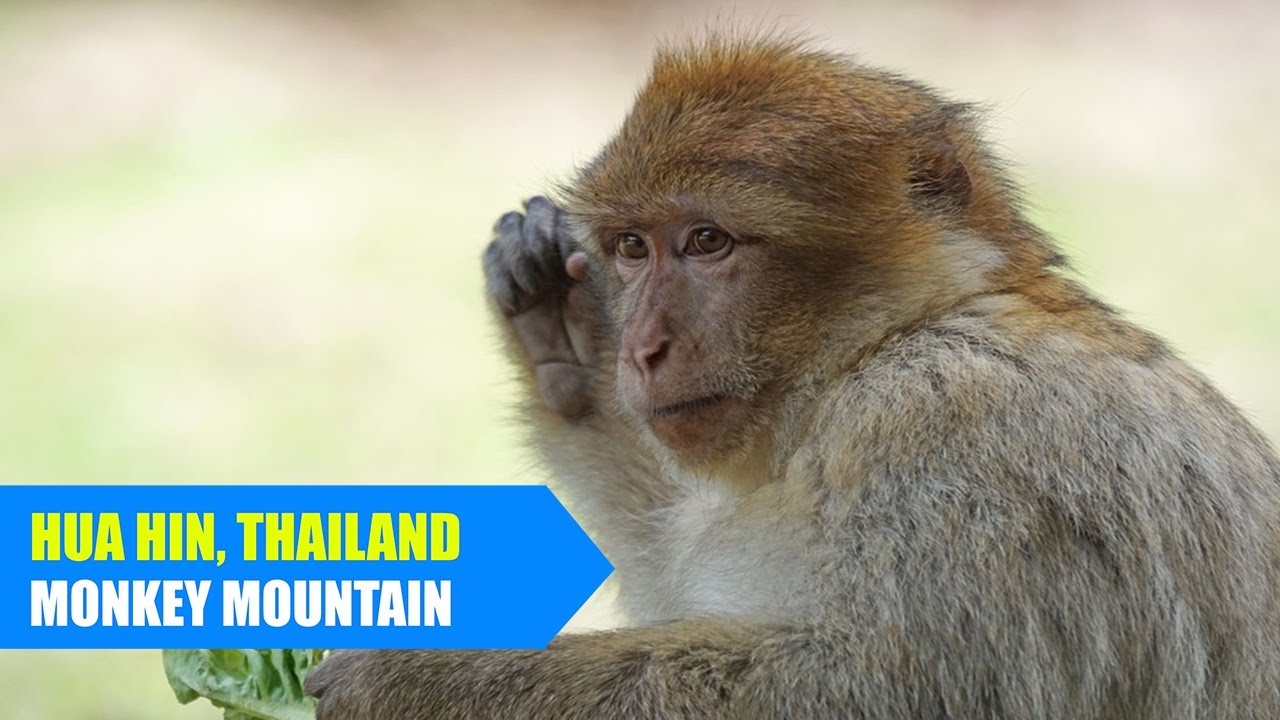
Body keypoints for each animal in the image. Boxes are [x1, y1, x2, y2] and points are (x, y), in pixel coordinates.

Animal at [305, 35, 1280, 719]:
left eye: (708, 242)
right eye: (630, 249)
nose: (640, 347)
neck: (878, 347)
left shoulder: (953, 428)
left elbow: (868, 686)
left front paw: (411, 679)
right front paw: (566, 343)